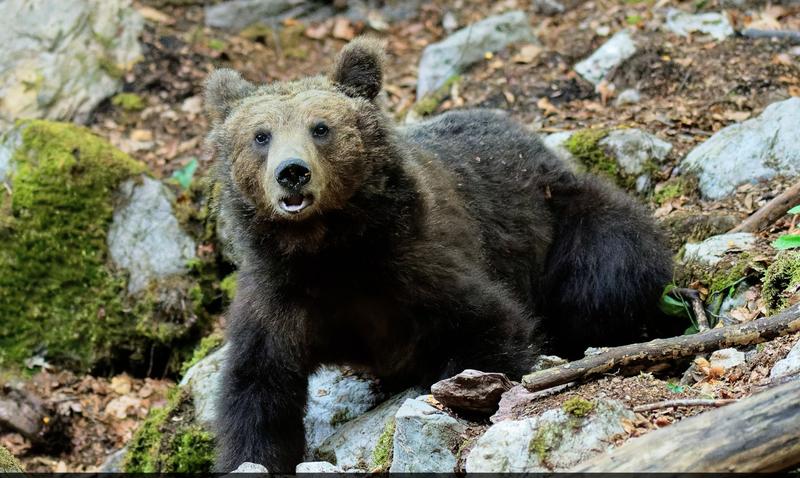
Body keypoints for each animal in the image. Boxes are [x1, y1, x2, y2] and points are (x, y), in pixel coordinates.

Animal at [205, 37, 676, 470]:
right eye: (260, 135)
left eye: (320, 127)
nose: (292, 173)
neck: (328, 250)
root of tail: (534, 142)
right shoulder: (280, 295)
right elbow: (257, 388)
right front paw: (252, 456)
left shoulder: (414, 263)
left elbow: (488, 326)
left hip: (565, 213)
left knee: (609, 272)